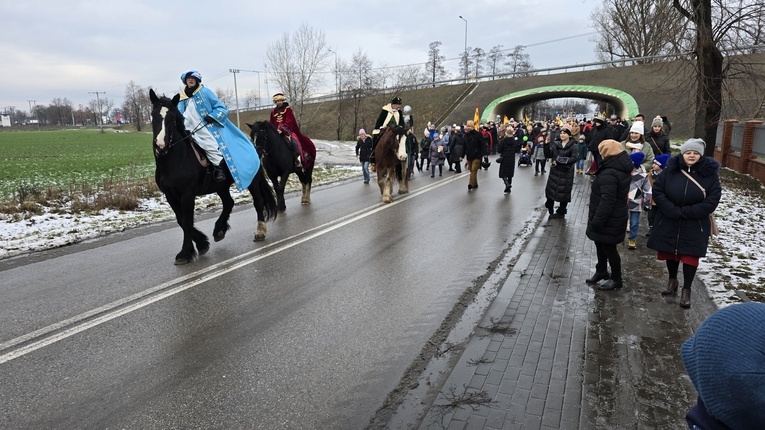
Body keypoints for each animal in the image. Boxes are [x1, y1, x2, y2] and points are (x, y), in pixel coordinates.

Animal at [149, 89, 278, 264]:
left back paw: (260, 231)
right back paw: (219, 230)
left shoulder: (187, 194)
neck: (175, 160)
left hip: (252, 181)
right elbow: (181, 220)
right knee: (229, 203)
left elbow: (187, 221)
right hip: (221, 186)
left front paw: (186, 252)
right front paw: (201, 243)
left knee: (258, 202)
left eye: (172, 118)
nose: (161, 146)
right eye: (153, 115)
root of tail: (254, 146)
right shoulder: (171, 195)